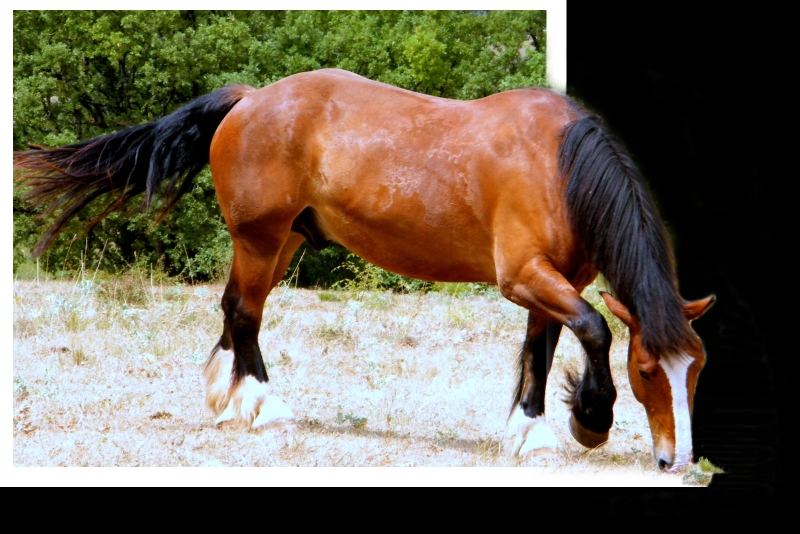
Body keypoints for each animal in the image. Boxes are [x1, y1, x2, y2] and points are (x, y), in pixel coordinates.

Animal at [12, 68, 712, 474]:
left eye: (697, 370)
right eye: (647, 371)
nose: (676, 461)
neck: (559, 166)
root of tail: (250, 98)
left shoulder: (552, 280)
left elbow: (542, 350)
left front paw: (531, 432)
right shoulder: (525, 276)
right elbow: (594, 329)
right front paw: (589, 420)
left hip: (281, 244)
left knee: (236, 310)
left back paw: (228, 397)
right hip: (261, 239)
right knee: (245, 313)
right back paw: (264, 405)